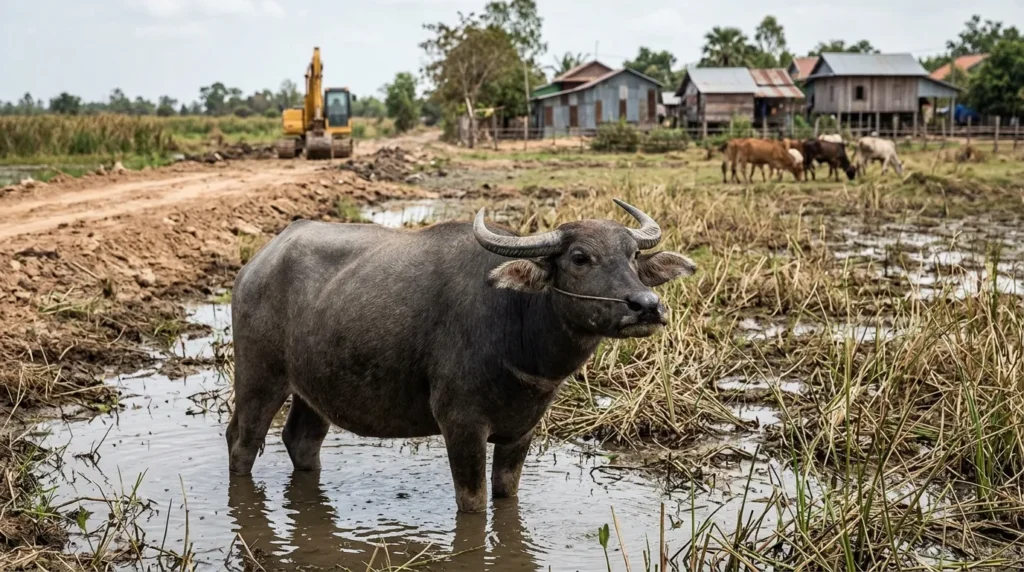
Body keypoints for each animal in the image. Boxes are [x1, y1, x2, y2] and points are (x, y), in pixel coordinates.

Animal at [227, 200, 696, 512]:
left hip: (313, 391)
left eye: (633, 256)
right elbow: (473, 503)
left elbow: (506, 494)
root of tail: (256, 264)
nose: (647, 305)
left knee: (302, 441)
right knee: (242, 441)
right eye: (580, 257)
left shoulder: (521, 431)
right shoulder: (461, 425)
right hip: (258, 378)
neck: (515, 320)